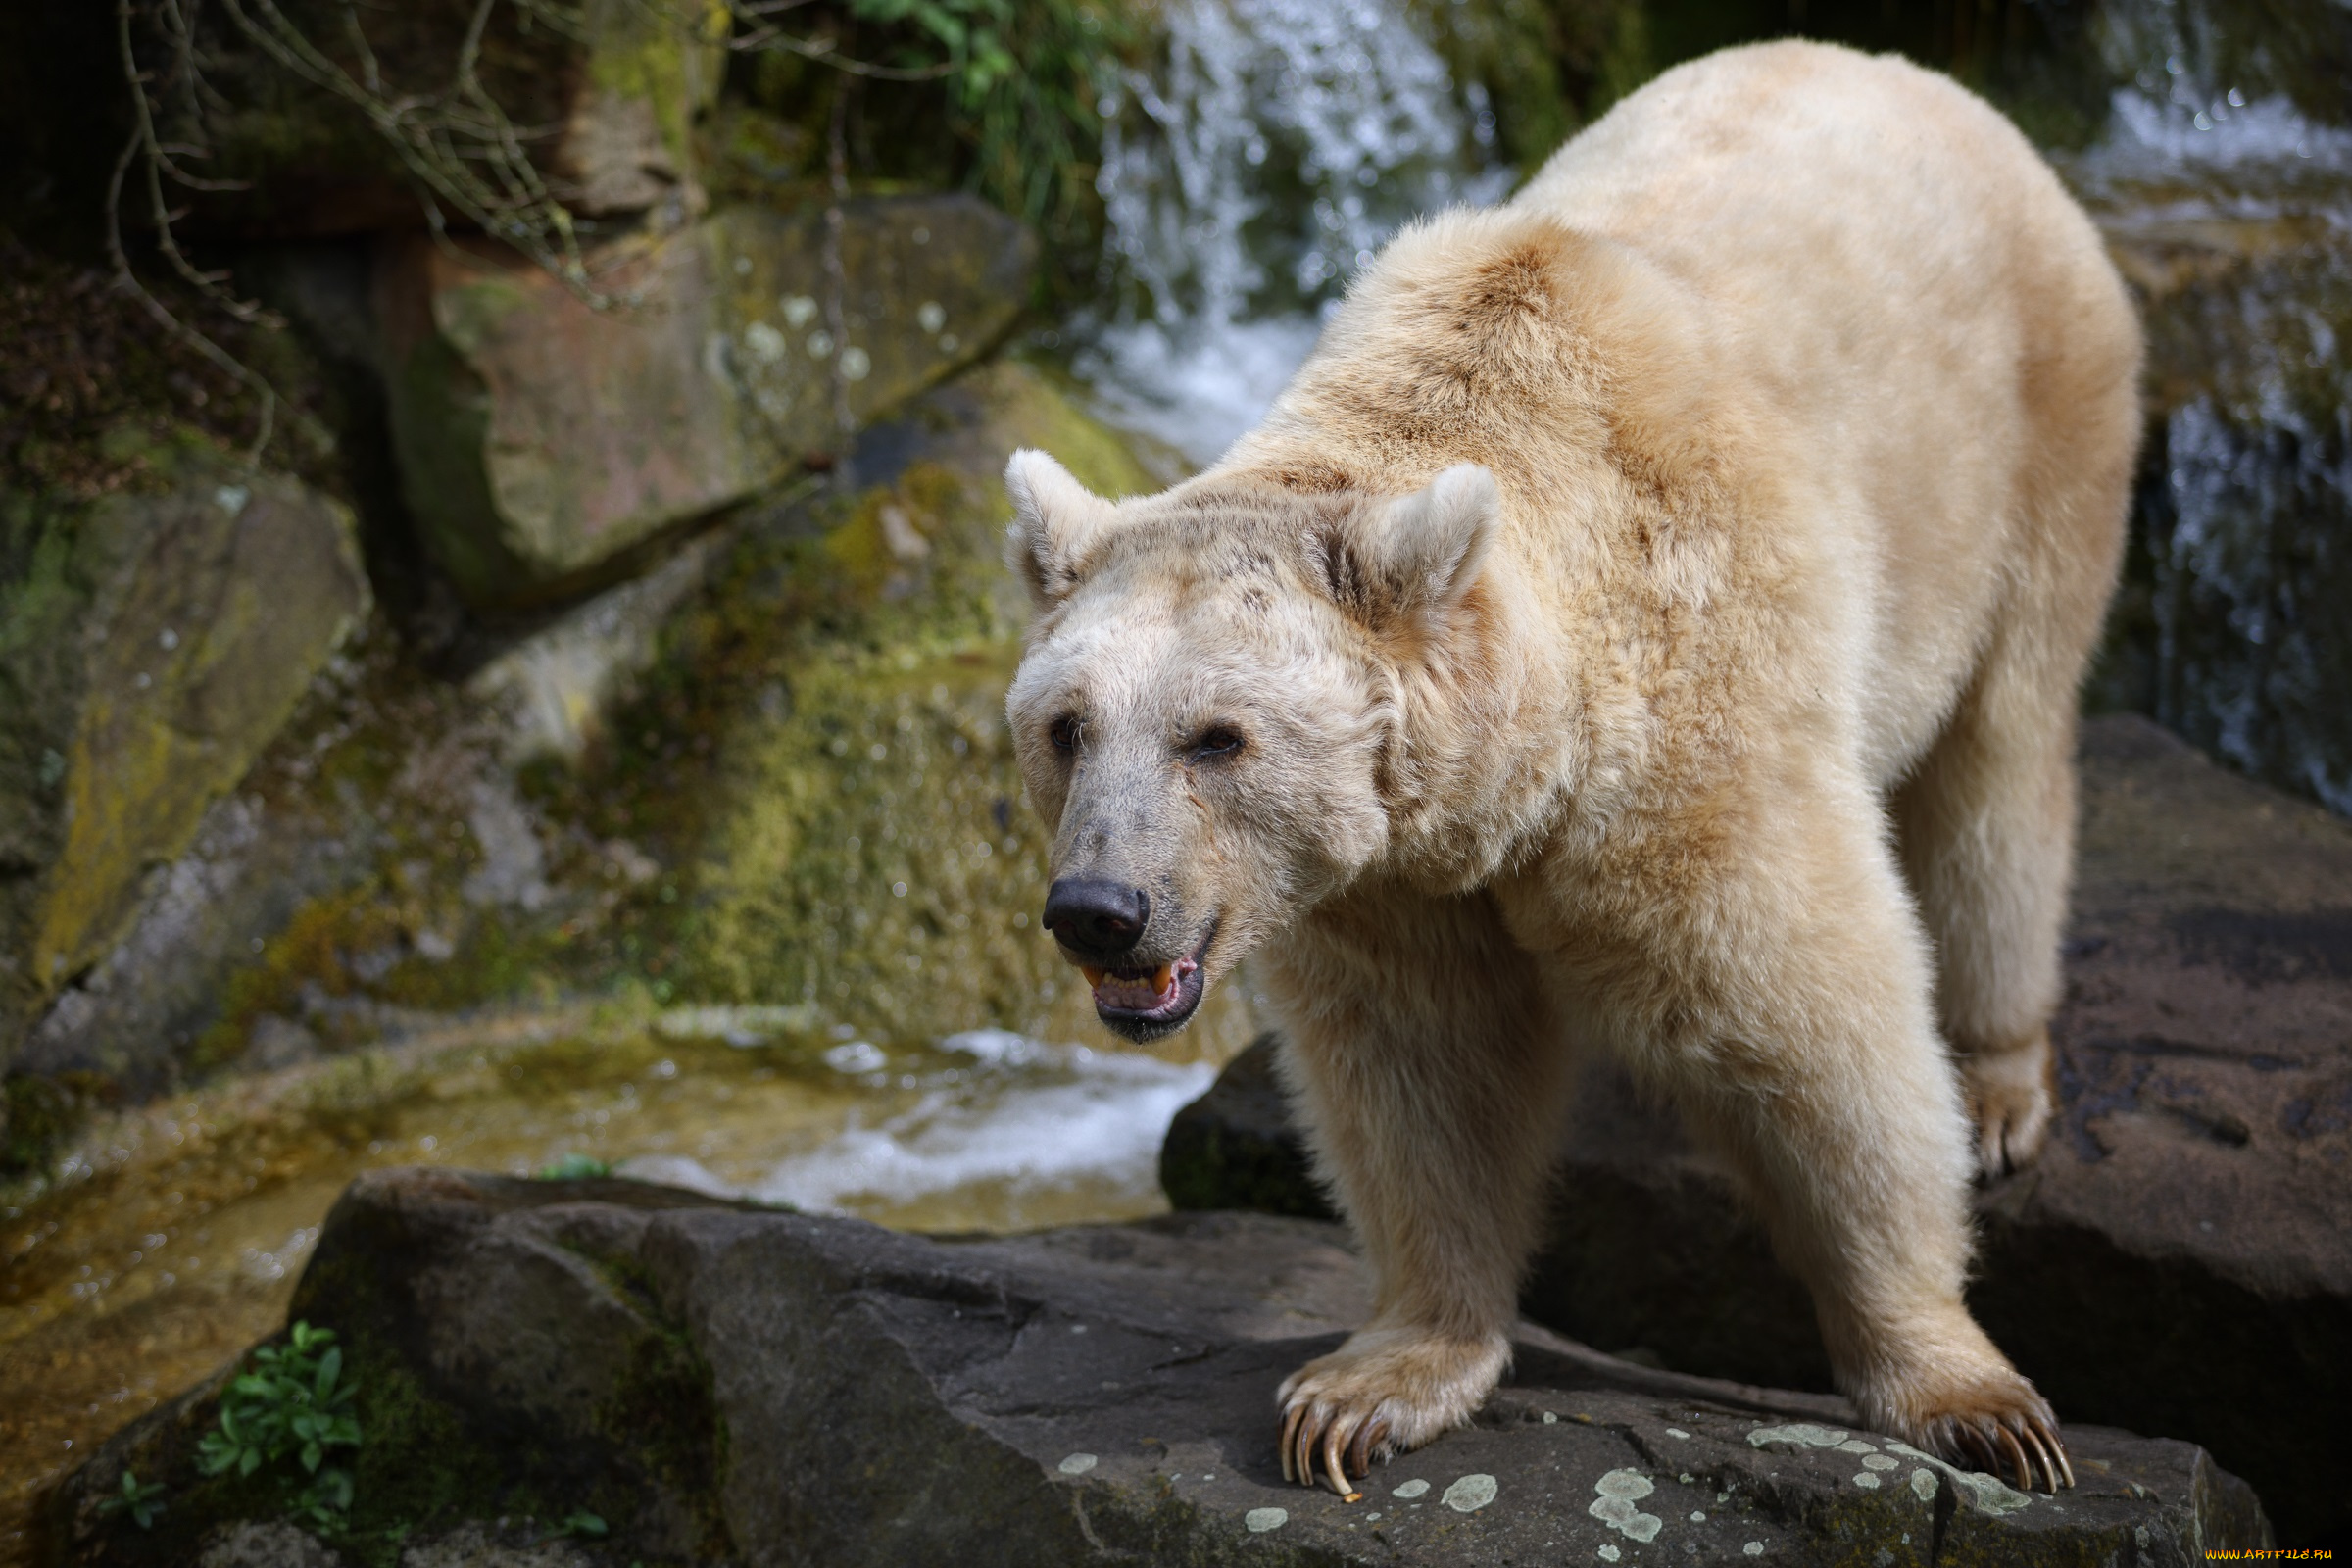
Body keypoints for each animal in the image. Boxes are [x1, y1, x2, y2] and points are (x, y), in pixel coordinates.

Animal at [1002, 42, 2144, 1504]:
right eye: (1066, 728)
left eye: (1218, 736)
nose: (1100, 910)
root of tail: (1920, 81)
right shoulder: (1394, 872)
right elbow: (1422, 1070)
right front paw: (1367, 1391)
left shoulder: (1692, 728)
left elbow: (1816, 1026)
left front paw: (1965, 1390)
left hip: (2028, 443)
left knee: (1998, 763)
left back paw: (1999, 1079)